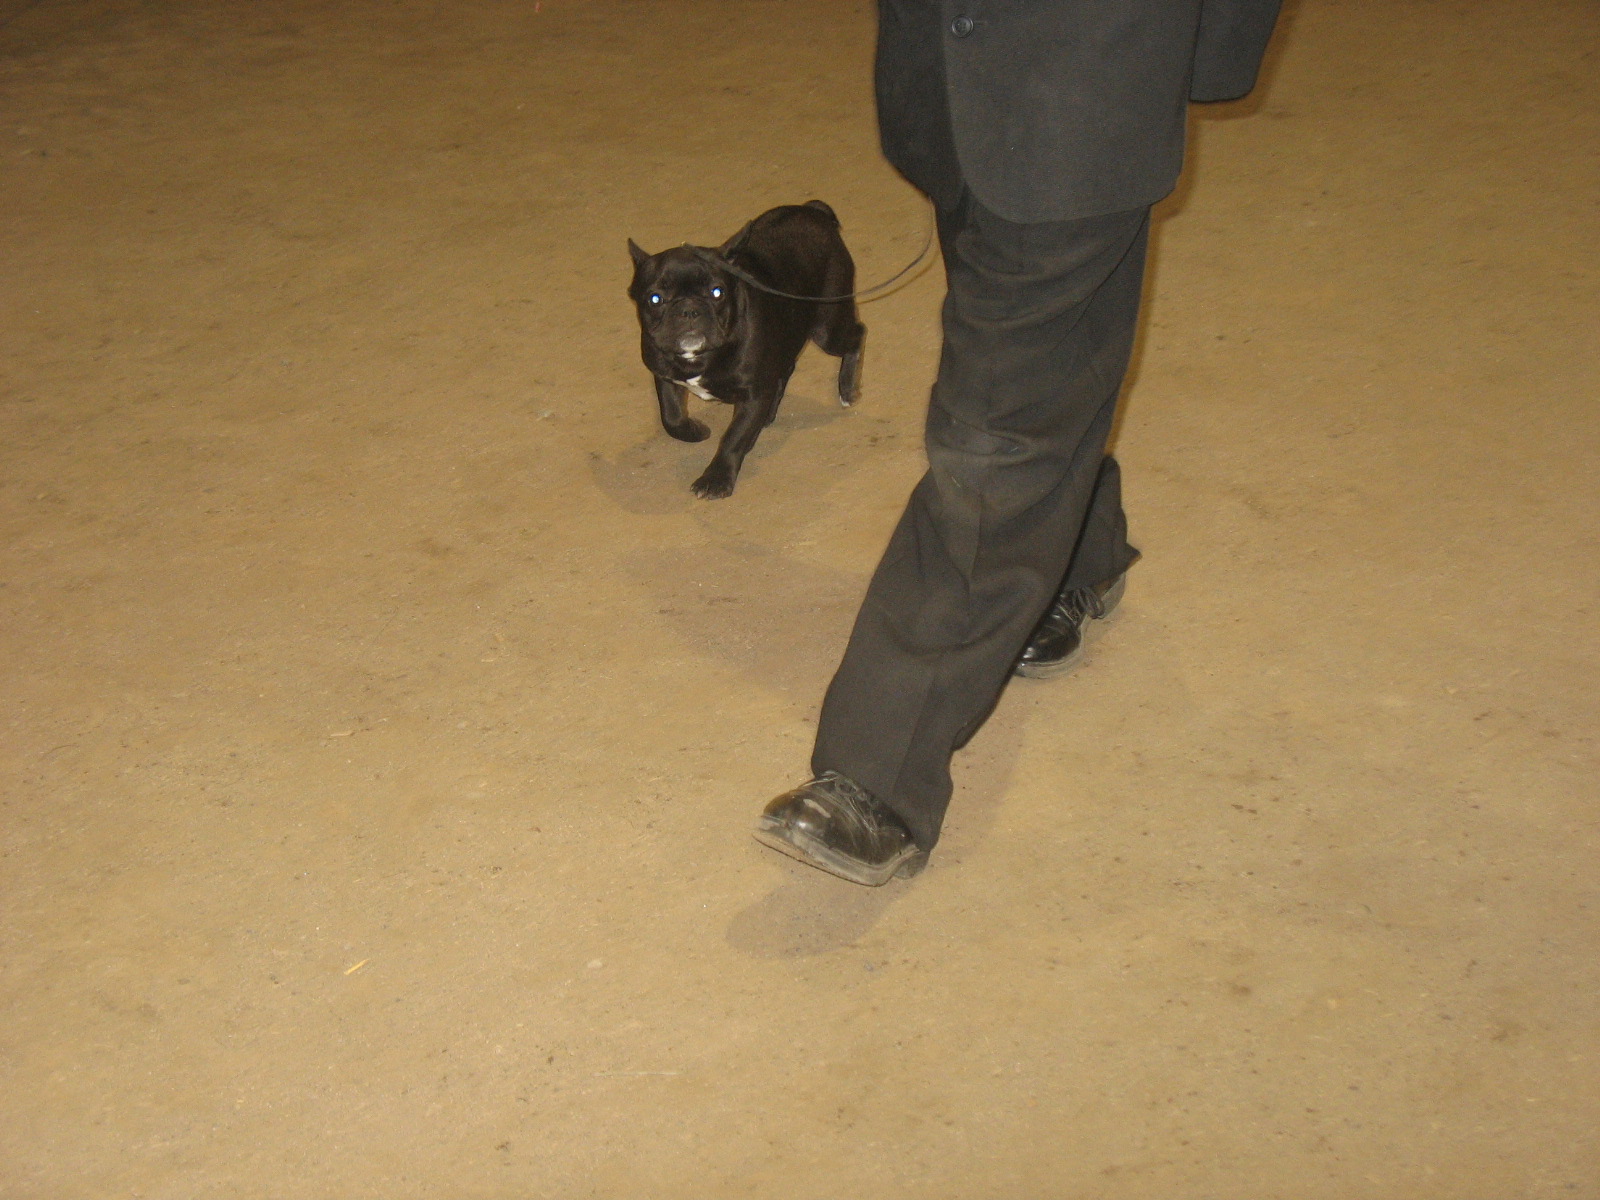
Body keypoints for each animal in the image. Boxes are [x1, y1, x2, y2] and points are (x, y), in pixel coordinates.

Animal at [626, 201, 865, 499]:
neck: (701, 357)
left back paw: (847, 389)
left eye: (717, 292)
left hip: (828, 326)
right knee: (785, 367)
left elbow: (733, 438)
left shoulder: (753, 395)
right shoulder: (664, 373)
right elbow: (670, 416)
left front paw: (716, 478)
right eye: (655, 298)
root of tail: (813, 210)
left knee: (856, 335)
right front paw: (693, 431)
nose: (689, 309)